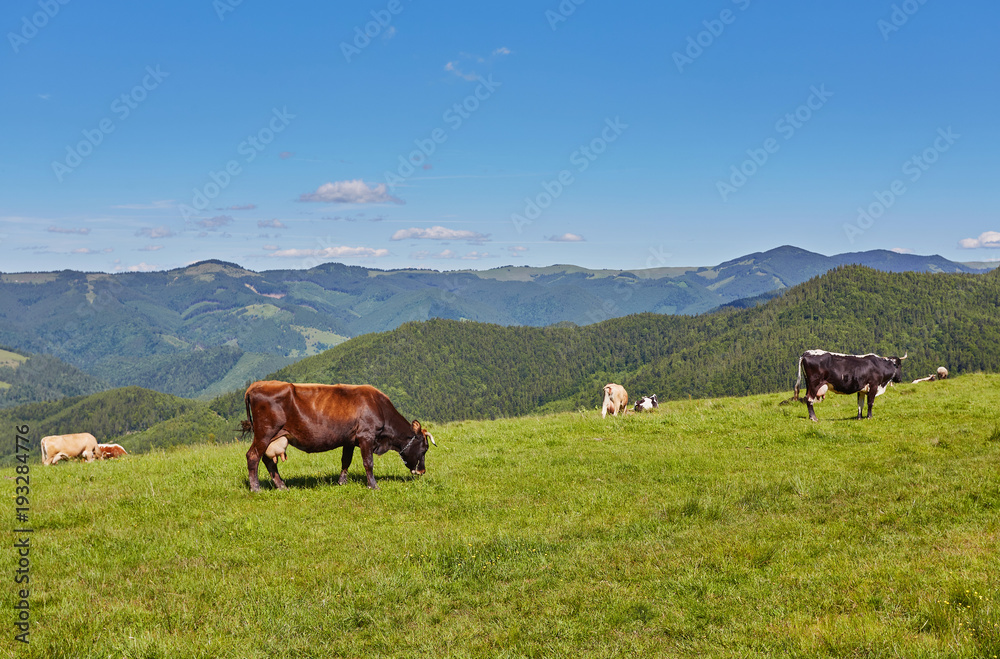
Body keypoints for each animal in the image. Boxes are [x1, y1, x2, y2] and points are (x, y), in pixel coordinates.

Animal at [242, 380, 435, 491]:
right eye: (424, 448)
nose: (422, 471)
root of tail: (256, 385)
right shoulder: (366, 436)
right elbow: (368, 462)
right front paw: (373, 486)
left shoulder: (349, 439)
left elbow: (345, 461)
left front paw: (342, 482)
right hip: (265, 432)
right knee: (253, 456)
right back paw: (256, 488)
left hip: (272, 436)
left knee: (267, 460)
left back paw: (281, 486)